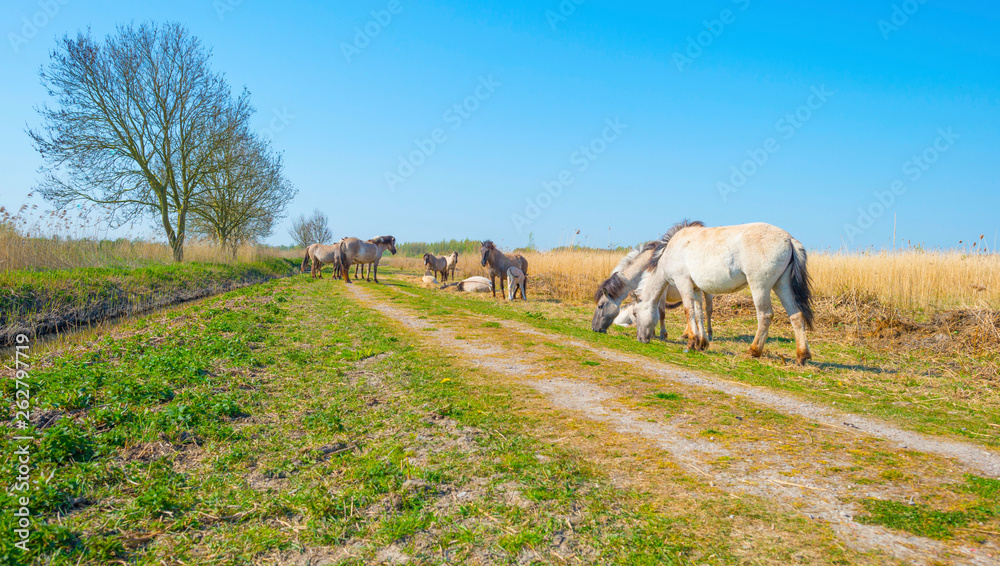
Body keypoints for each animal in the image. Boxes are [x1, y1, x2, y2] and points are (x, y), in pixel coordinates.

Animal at [635, 221, 814, 365]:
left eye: (635, 314)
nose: (640, 339)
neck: (671, 250)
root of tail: (789, 238)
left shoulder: (683, 283)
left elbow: (688, 311)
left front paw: (691, 343)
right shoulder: (696, 288)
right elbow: (699, 313)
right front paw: (702, 343)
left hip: (760, 286)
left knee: (765, 315)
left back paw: (753, 351)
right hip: (782, 285)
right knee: (796, 316)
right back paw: (801, 356)